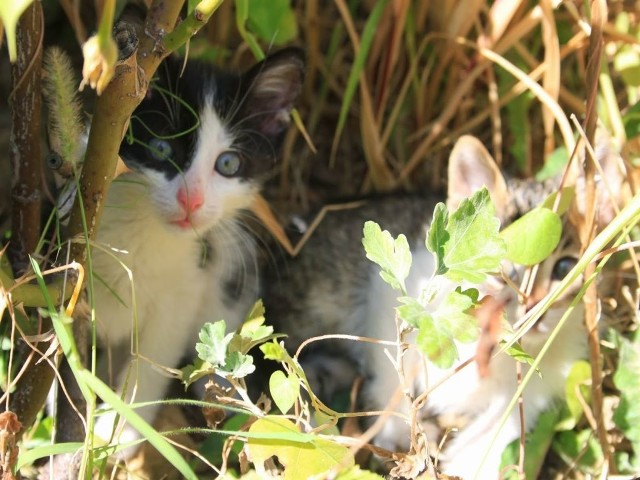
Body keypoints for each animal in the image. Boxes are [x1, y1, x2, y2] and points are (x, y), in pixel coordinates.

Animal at [91, 47, 306, 454]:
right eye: (160, 148)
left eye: (228, 164)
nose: (191, 201)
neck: (146, 235)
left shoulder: (189, 285)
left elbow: (154, 355)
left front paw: (121, 429)